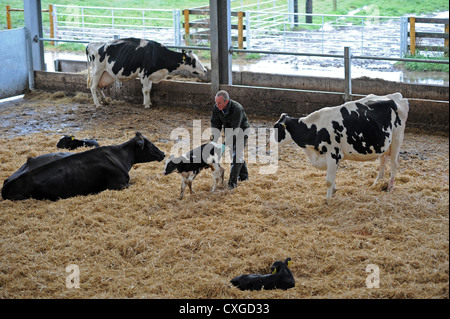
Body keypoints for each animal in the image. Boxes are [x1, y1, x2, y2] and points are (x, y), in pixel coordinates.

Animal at [272, 92, 410, 200]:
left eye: (276, 127)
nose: (271, 142)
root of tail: (396, 96)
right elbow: (332, 178)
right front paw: (333, 191)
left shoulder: (333, 155)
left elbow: (329, 181)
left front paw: (327, 199)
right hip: (385, 143)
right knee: (383, 160)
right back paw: (376, 183)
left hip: (397, 139)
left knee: (394, 163)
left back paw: (390, 187)